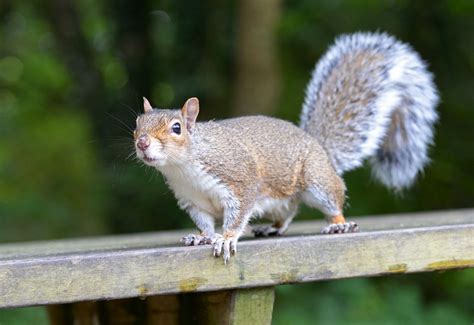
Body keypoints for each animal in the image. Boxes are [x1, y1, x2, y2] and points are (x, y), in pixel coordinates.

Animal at [132, 31, 436, 262]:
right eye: (137, 123)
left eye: (177, 128)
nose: (142, 142)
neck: (183, 168)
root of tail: (319, 147)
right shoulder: (193, 201)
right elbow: (206, 222)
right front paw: (203, 237)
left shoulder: (239, 181)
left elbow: (237, 216)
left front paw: (226, 238)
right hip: (280, 200)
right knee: (287, 213)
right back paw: (272, 228)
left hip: (316, 180)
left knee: (333, 201)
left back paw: (339, 224)